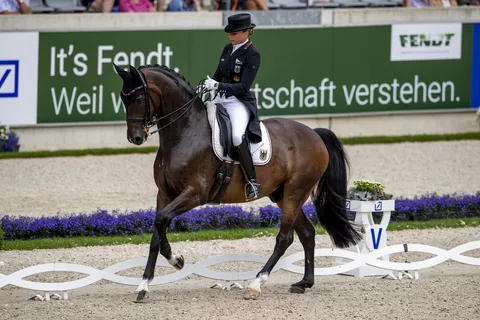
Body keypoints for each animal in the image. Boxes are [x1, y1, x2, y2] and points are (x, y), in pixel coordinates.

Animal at [112, 63, 360, 302]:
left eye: (138, 98)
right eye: (123, 98)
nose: (135, 138)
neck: (184, 132)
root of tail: (314, 134)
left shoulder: (194, 194)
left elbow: (161, 221)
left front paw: (177, 261)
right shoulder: (164, 194)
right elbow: (157, 230)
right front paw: (144, 285)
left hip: (295, 193)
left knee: (285, 238)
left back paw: (256, 284)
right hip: (283, 195)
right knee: (306, 234)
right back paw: (304, 283)